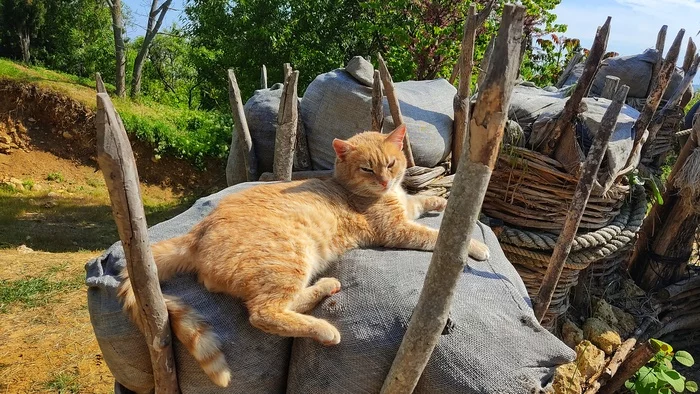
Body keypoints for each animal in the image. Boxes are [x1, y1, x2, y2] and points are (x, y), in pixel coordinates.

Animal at [117, 124, 490, 386]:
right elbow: (438, 236)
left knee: (283, 303)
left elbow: (421, 200)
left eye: (391, 163)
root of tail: (198, 231)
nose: (385, 181)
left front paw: (437, 201)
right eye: (367, 169)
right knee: (263, 313)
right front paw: (474, 246)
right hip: (291, 256)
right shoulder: (396, 230)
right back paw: (324, 329)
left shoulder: (405, 207)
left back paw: (326, 288)